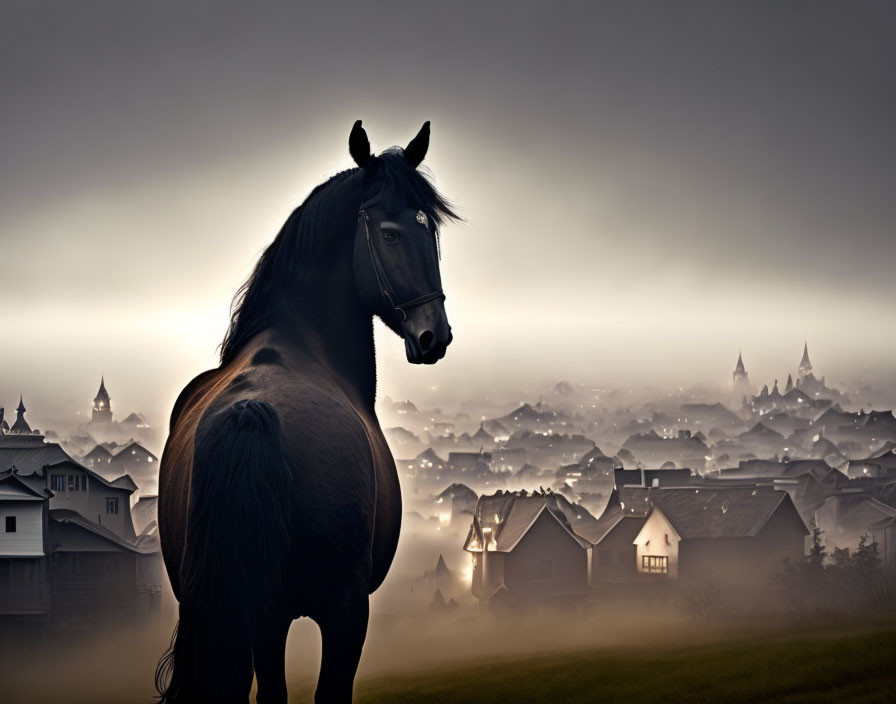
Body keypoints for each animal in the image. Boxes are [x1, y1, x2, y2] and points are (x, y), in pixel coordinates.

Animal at [155, 122, 458, 704]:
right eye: (390, 234)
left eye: (429, 230)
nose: (435, 335)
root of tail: (251, 413)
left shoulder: (264, 620)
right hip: (341, 612)